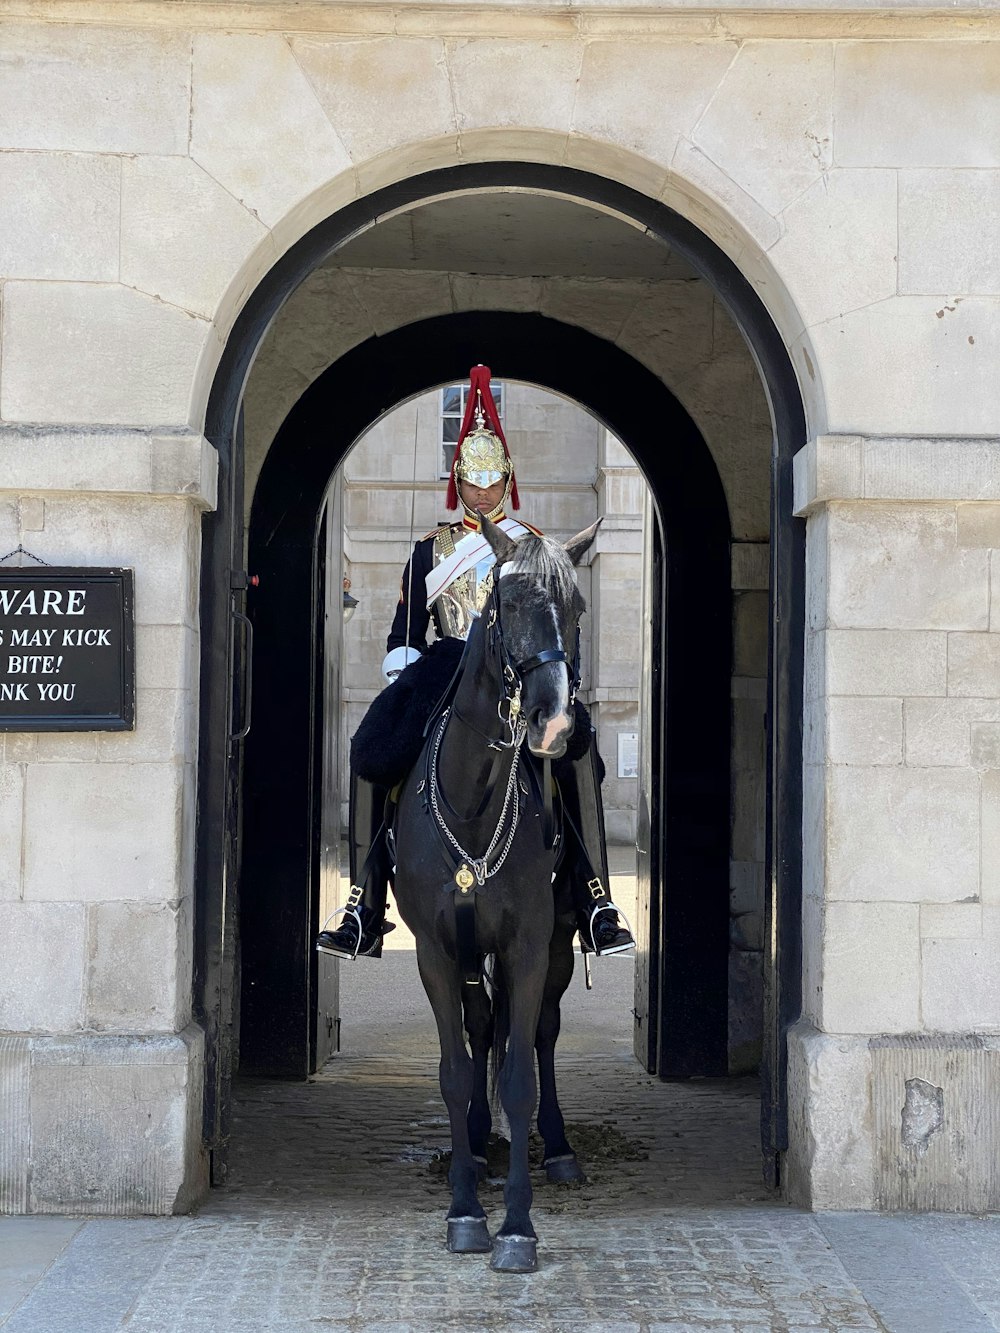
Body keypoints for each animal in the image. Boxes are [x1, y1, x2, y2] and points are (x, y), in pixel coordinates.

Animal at [392, 509, 600, 1269]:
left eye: (576, 607)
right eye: (506, 604)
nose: (554, 724)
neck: (477, 799)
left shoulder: (530, 944)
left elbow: (519, 1074)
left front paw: (516, 1227)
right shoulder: (436, 949)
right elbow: (457, 1070)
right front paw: (464, 1211)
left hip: (560, 943)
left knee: (537, 1033)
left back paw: (558, 1147)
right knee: (484, 1029)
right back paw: (478, 1146)